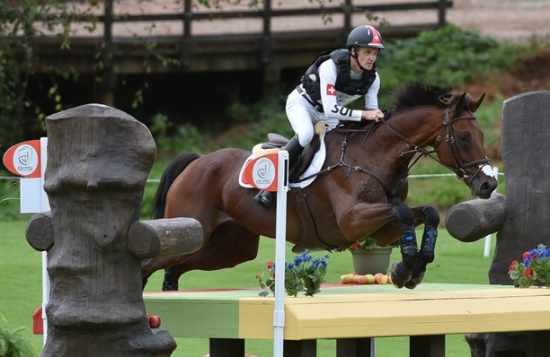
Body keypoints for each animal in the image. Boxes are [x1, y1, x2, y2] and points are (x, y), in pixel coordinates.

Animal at [142, 82, 500, 290]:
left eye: (481, 135)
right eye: (464, 137)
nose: (487, 184)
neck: (377, 155)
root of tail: (198, 162)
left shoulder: (380, 230)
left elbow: (426, 213)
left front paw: (413, 267)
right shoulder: (353, 222)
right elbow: (403, 212)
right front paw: (405, 266)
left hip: (228, 249)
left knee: (175, 269)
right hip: (195, 231)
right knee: (150, 264)